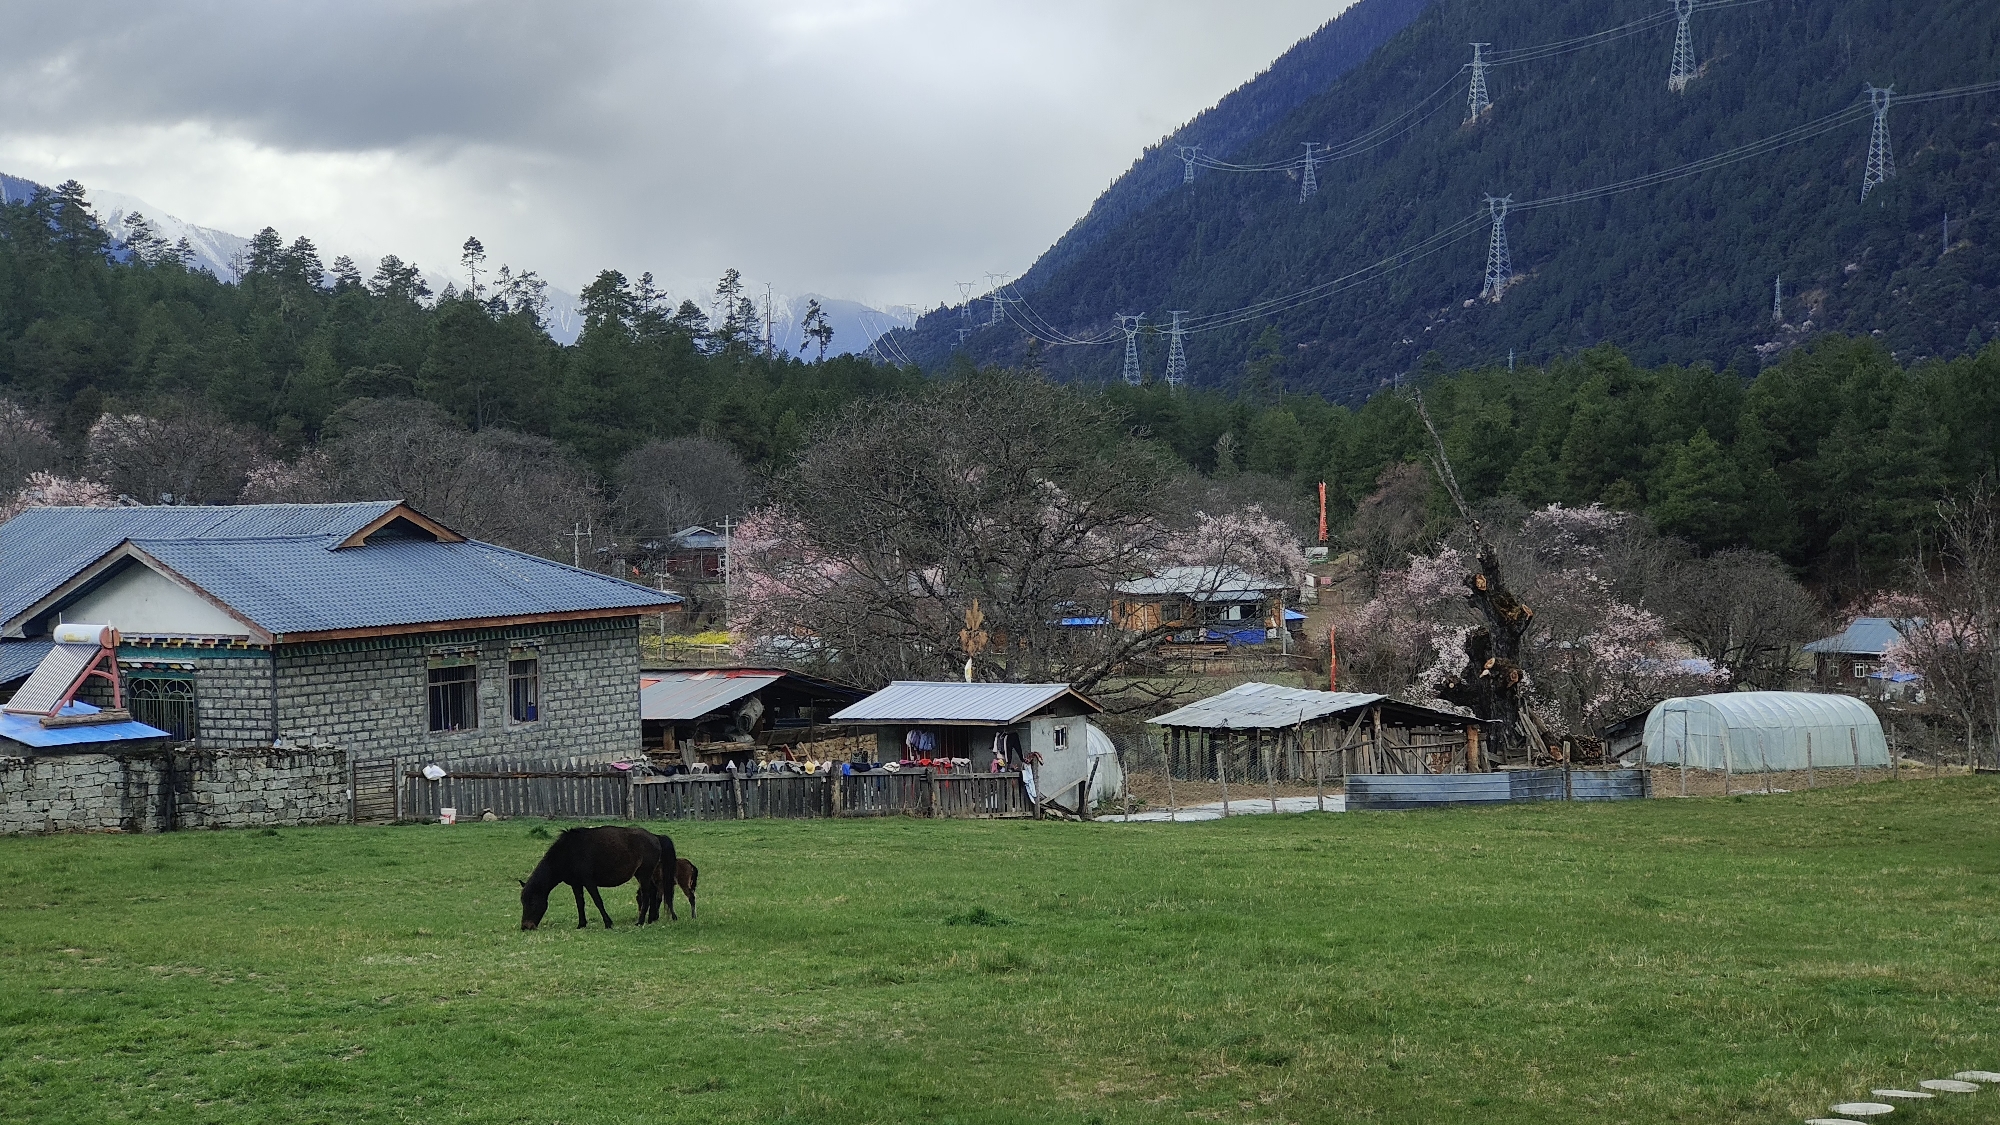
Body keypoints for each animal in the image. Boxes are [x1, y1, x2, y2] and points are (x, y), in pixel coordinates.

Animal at [520, 824, 676, 928]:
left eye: (532, 902)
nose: (525, 927)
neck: (568, 852)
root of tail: (655, 837)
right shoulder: (576, 884)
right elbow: (580, 903)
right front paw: (581, 924)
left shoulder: (589, 882)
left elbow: (598, 901)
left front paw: (608, 923)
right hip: (644, 874)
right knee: (654, 892)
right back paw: (651, 918)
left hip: (644, 874)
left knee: (647, 894)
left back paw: (641, 921)